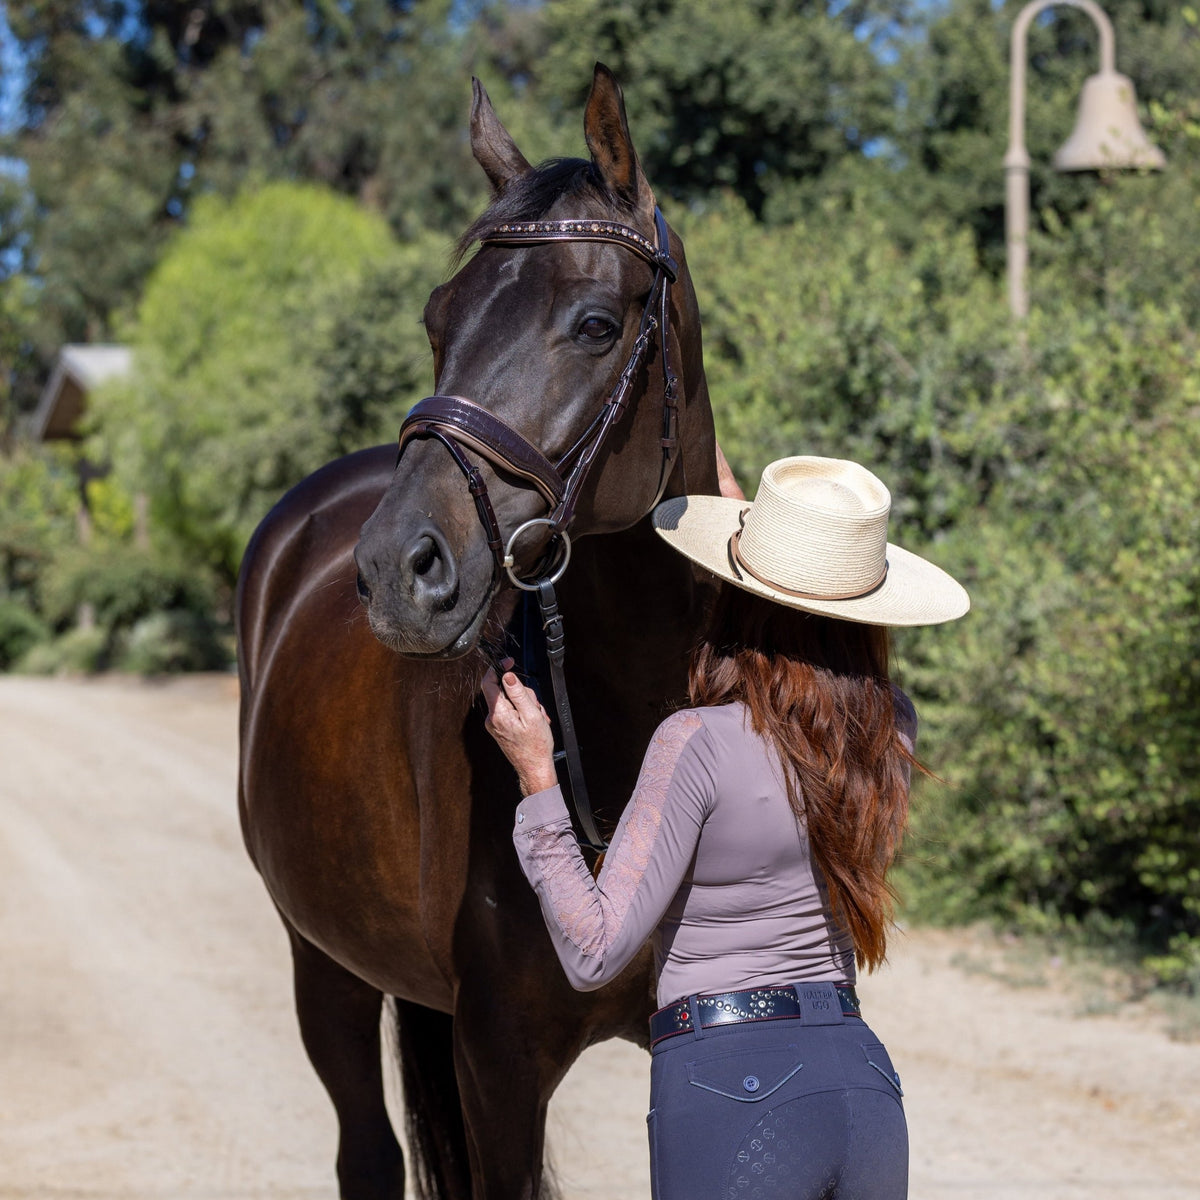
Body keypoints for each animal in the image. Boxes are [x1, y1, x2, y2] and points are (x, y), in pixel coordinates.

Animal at [238, 68, 715, 1200]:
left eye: (596, 324)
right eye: (436, 315)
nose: (395, 571)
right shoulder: (499, 1064)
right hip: (322, 963)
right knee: (366, 1152)